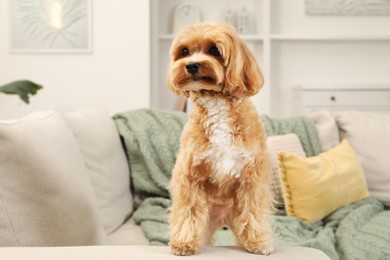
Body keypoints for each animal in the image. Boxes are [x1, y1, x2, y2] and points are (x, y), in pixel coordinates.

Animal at [168, 22, 274, 256]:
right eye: (185, 51)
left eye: (214, 50)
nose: (191, 66)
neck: (216, 102)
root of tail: (223, 215)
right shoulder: (190, 175)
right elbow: (188, 210)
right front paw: (183, 242)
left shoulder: (252, 177)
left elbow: (253, 210)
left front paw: (258, 241)